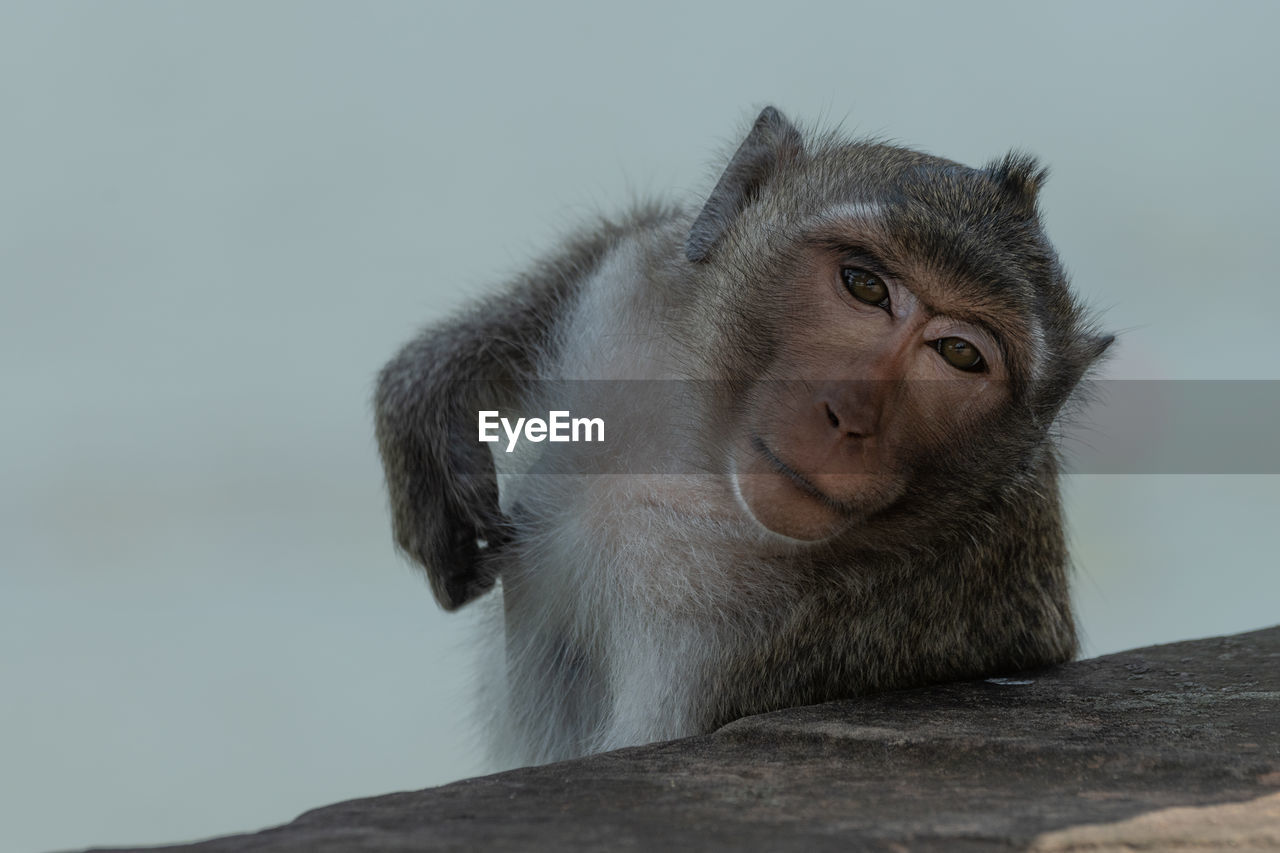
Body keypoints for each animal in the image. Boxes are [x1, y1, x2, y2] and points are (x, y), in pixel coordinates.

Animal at [373, 104, 1111, 763]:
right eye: (865, 285)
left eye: (959, 354)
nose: (850, 416)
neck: (703, 469)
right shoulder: (627, 293)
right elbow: (647, 244)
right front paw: (432, 392)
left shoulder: (723, 641)